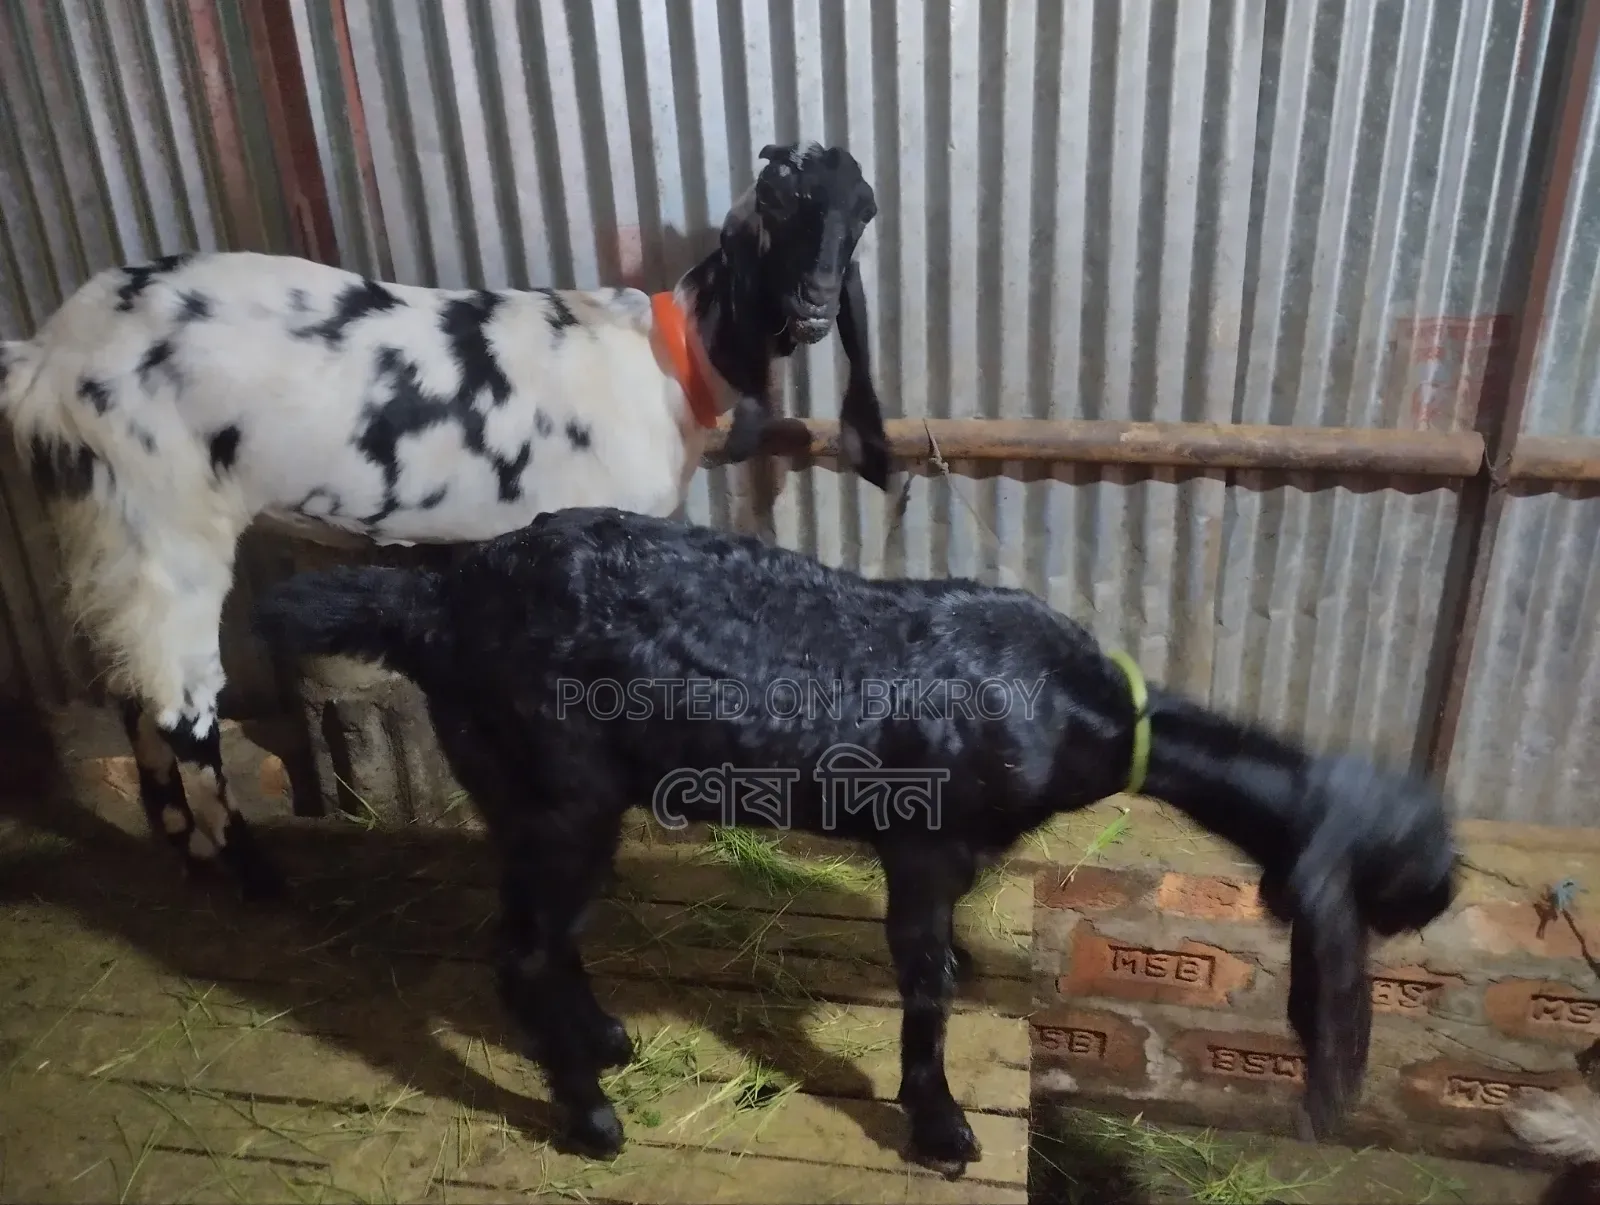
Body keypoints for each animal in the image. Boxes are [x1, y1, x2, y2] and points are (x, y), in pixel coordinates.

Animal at [0, 142, 888, 902]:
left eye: (862, 213)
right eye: (774, 201)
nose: (814, 304)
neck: (665, 361)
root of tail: (45, 361)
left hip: (104, 526)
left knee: (129, 689)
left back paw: (190, 854)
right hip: (165, 519)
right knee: (179, 706)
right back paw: (258, 876)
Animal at [249, 504, 1459, 1174]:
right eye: (1394, 869)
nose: (1445, 893)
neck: (1078, 708)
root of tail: (435, 603)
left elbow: (941, 961)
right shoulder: (925, 840)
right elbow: (923, 982)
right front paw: (940, 1126)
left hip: (530, 794)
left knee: (547, 936)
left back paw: (600, 1039)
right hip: (560, 788)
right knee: (519, 948)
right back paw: (589, 1115)